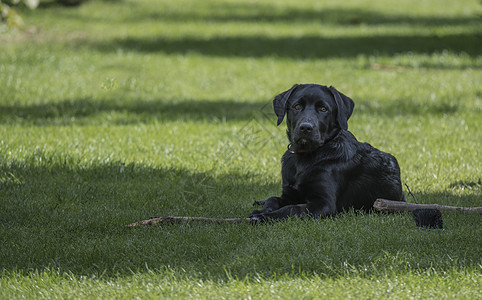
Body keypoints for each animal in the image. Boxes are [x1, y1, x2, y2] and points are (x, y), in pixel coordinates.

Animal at [250, 83, 404, 221]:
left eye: (323, 109)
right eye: (297, 106)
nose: (305, 127)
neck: (305, 157)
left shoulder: (324, 203)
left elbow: (291, 208)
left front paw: (264, 217)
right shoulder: (289, 194)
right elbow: (273, 199)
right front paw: (262, 210)